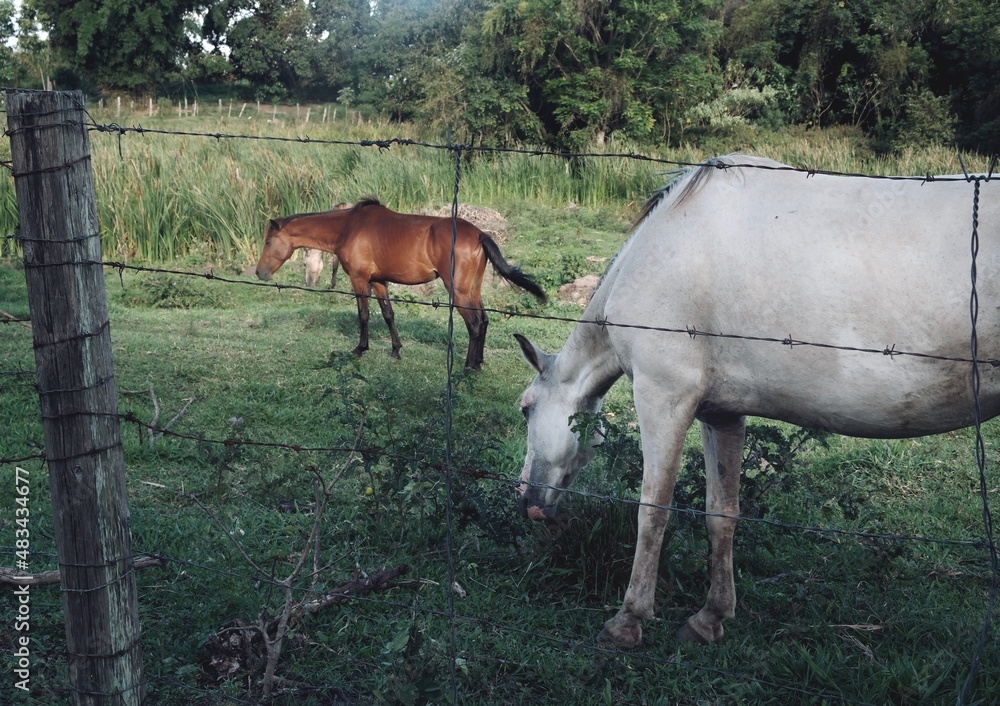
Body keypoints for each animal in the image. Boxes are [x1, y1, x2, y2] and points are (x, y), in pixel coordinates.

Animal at [255, 198, 546, 370]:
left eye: (268, 242)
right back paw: (478, 363)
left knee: (474, 325)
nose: (260, 272)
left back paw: (467, 367)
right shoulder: (378, 281)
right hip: (472, 289)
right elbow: (388, 314)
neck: (348, 226)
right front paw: (395, 350)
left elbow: (363, 315)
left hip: (458, 291)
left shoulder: (360, 279)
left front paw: (360, 348)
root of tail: (479, 234)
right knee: (484, 320)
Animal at [514, 154, 1000, 647]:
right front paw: (711, 616)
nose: (528, 501)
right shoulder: (722, 413)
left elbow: (652, 511)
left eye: (526, 407)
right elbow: (721, 514)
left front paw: (629, 620)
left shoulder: (663, 396)